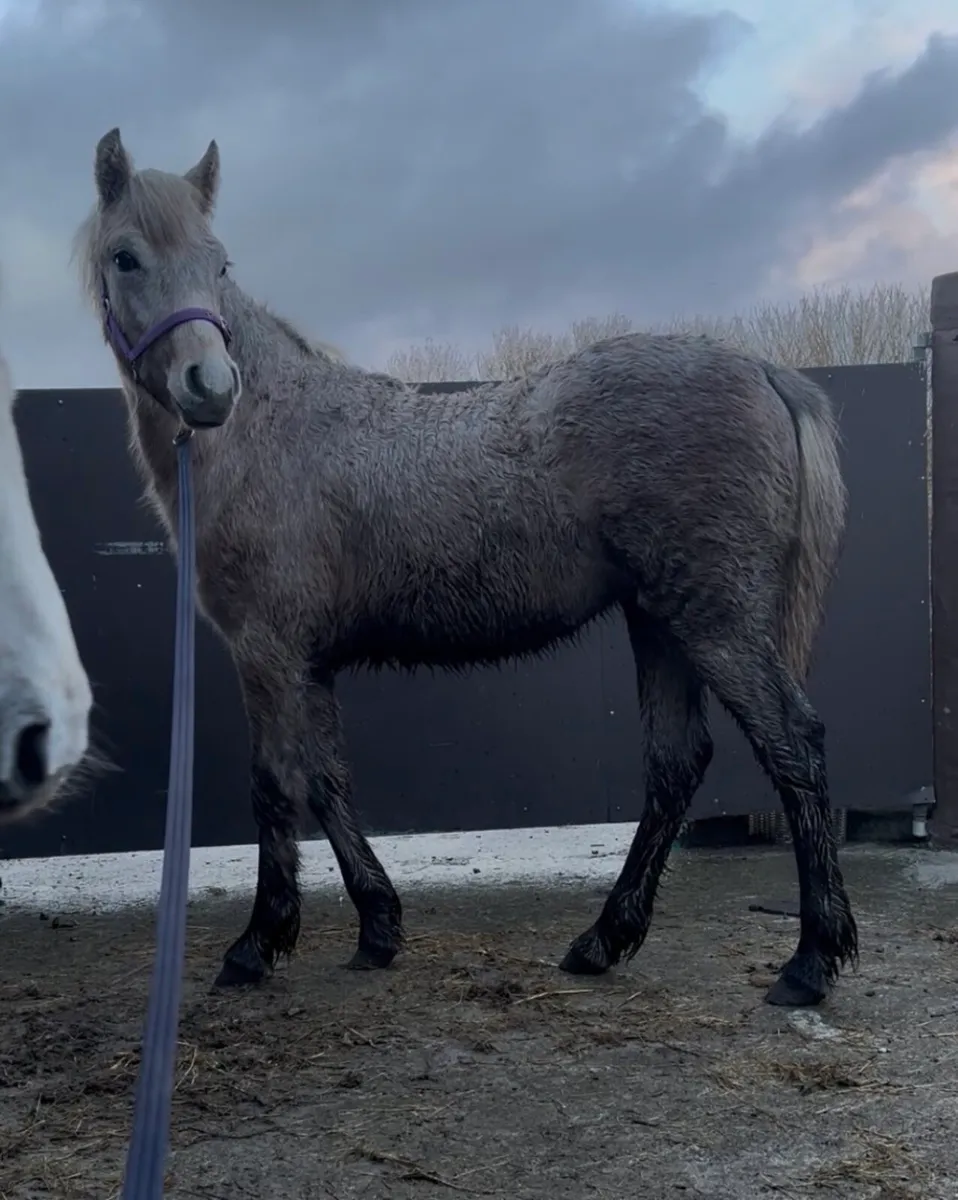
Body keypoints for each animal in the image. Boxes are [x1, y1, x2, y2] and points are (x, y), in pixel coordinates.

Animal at [76, 128, 858, 1009]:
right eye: (125, 257)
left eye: (219, 263)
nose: (209, 387)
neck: (270, 431)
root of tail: (763, 370)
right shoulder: (309, 663)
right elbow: (327, 781)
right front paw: (378, 928)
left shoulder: (267, 653)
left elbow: (275, 785)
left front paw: (256, 944)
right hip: (659, 620)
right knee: (675, 763)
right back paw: (602, 940)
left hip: (716, 621)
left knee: (793, 744)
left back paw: (810, 960)